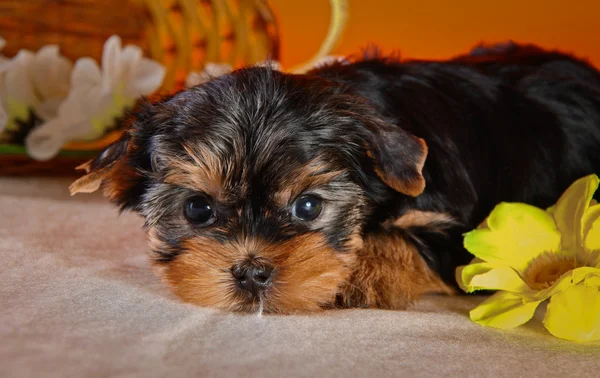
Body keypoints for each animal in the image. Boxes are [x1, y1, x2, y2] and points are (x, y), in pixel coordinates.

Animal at [69, 42, 600, 314]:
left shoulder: (464, 230)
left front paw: (354, 278)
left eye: (308, 207)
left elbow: (399, 238)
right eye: (197, 209)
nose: (251, 271)